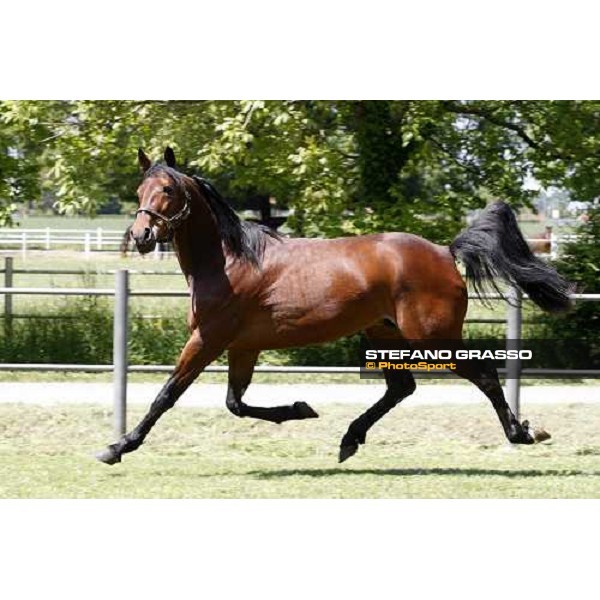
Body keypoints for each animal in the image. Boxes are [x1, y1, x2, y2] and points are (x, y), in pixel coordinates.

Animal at [95, 148, 572, 466]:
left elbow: (167, 394)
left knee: (484, 375)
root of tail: (443, 250)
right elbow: (235, 402)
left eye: (168, 189)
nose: (141, 236)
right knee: (401, 389)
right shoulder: (242, 346)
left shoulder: (207, 339)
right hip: (384, 332)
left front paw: (117, 447)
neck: (228, 261)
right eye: (139, 189)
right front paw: (301, 409)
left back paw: (524, 433)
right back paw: (349, 438)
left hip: (434, 338)